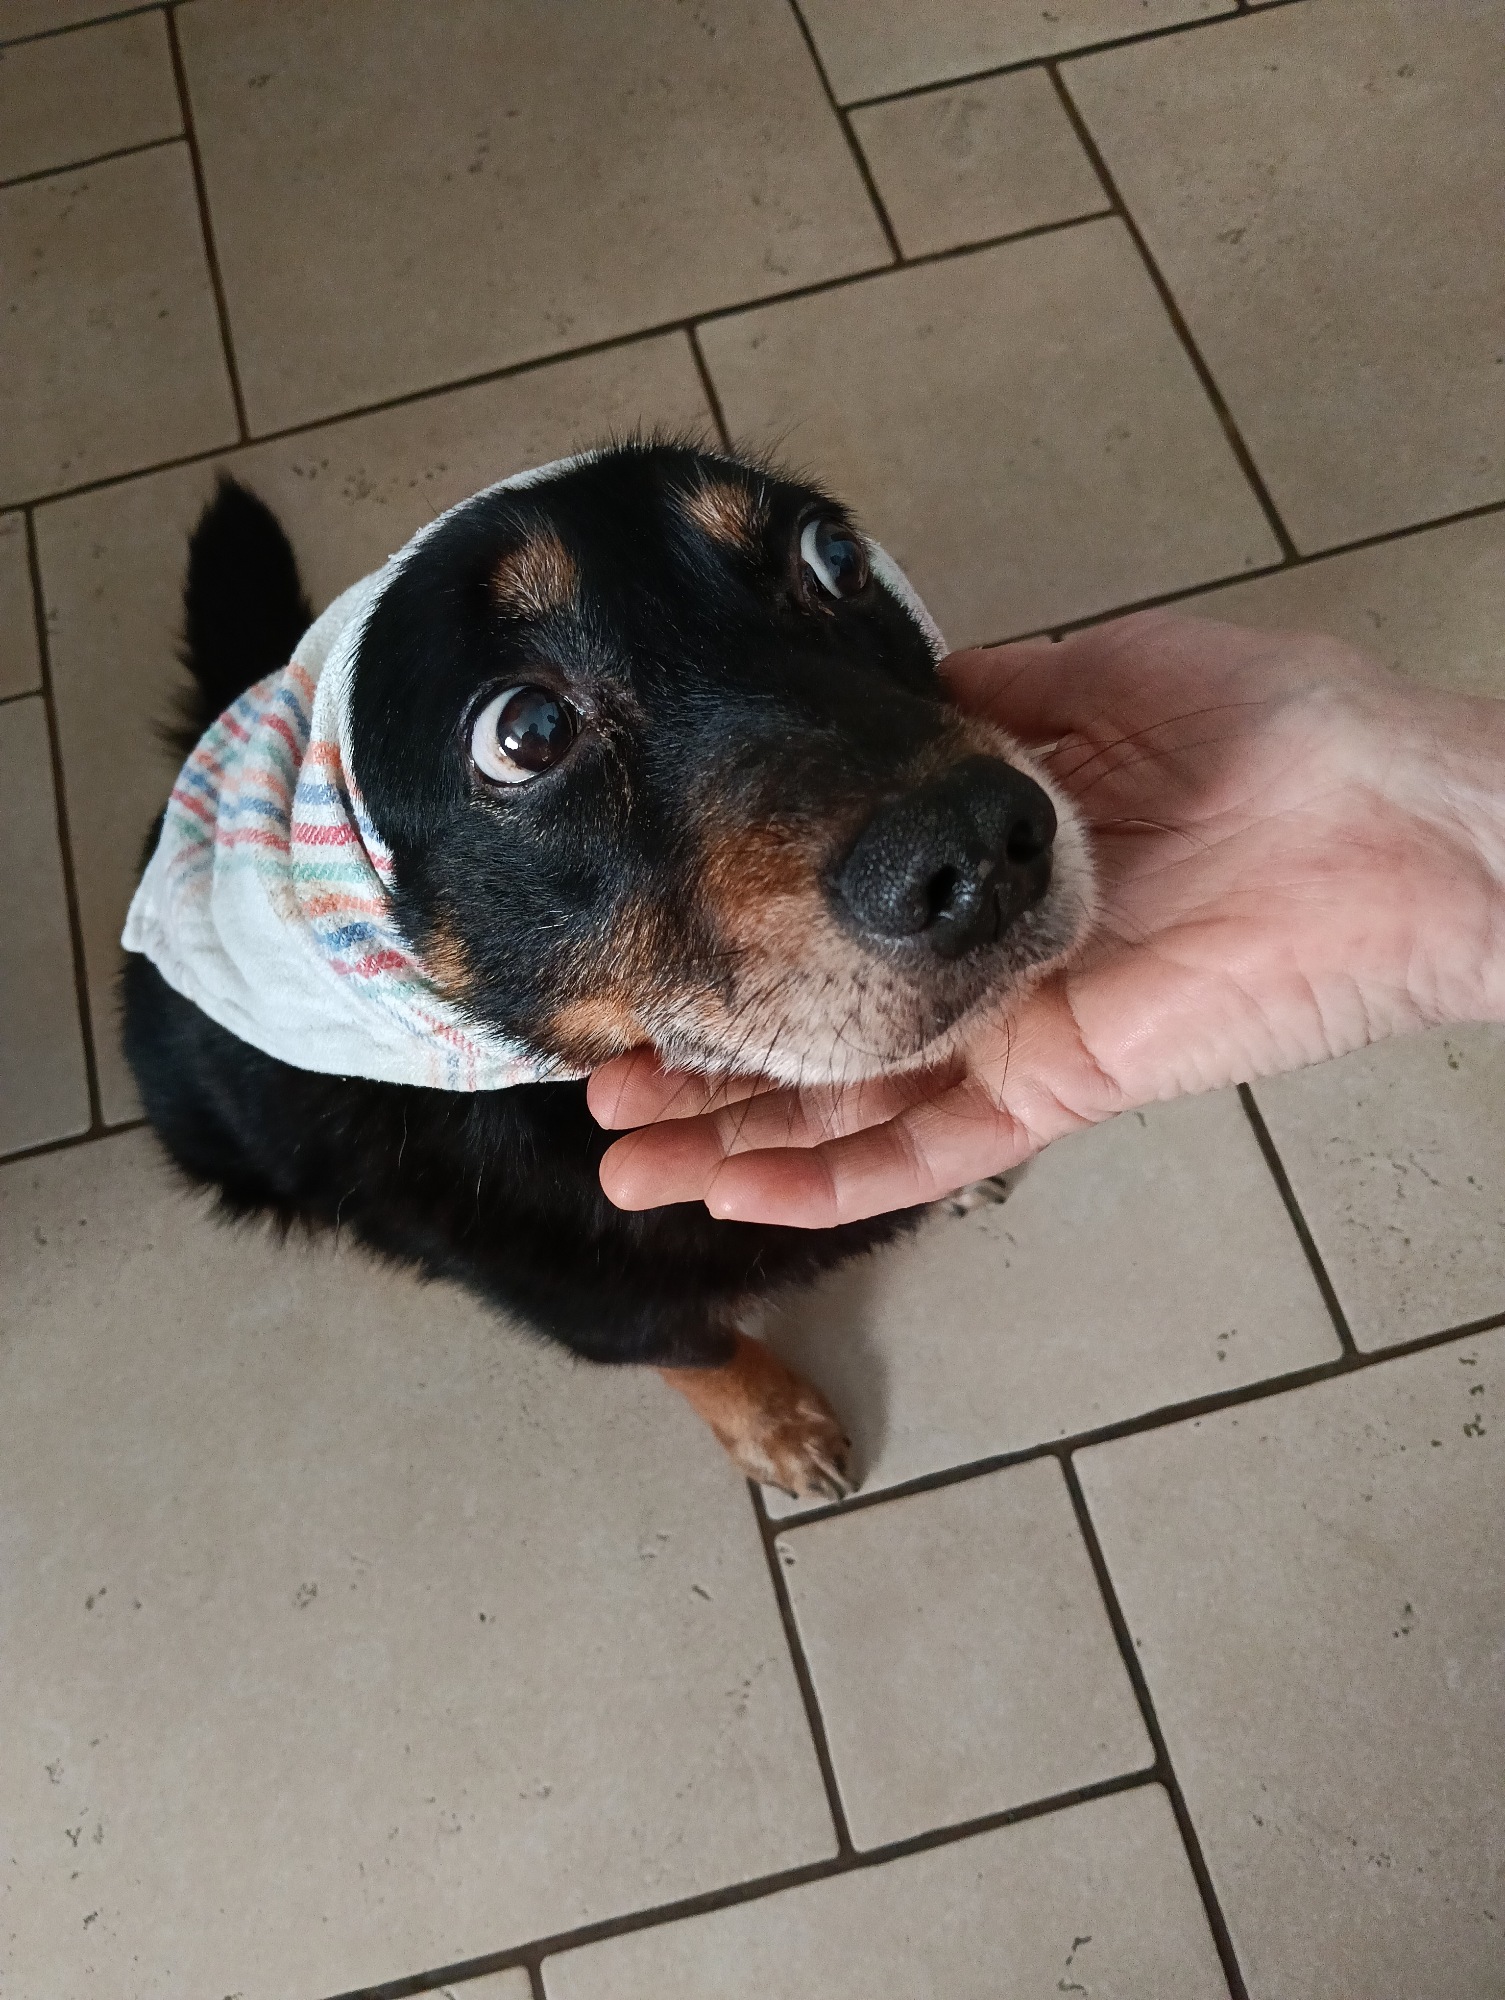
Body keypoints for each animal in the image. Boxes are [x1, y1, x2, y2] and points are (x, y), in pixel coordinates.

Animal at [122, 441, 1093, 1498]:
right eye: (525, 731)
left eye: (834, 556)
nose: (983, 850)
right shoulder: (580, 1297)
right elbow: (693, 1351)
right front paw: (777, 1426)